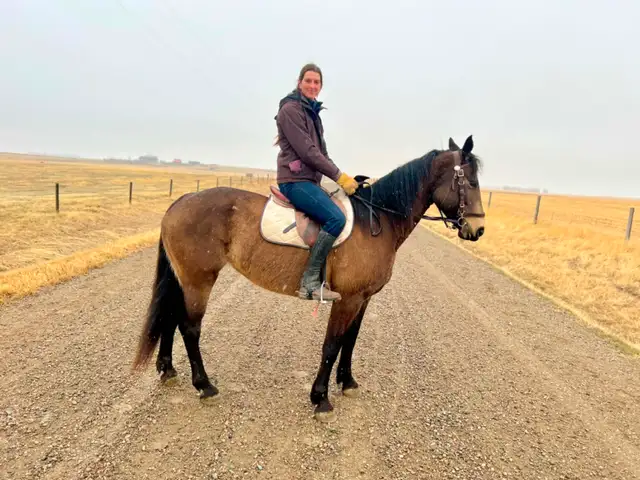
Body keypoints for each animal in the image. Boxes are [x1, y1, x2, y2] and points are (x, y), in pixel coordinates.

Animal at [132, 135, 486, 421]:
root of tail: (180, 202)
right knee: (189, 327)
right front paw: (321, 398)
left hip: (185, 279)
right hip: (199, 280)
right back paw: (204, 386)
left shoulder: (363, 299)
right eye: (469, 182)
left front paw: (347, 382)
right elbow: (332, 344)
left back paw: (168, 369)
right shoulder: (347, 299)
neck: (378, 220)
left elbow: (350, 340)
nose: (478, 229)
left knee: (171, 317)